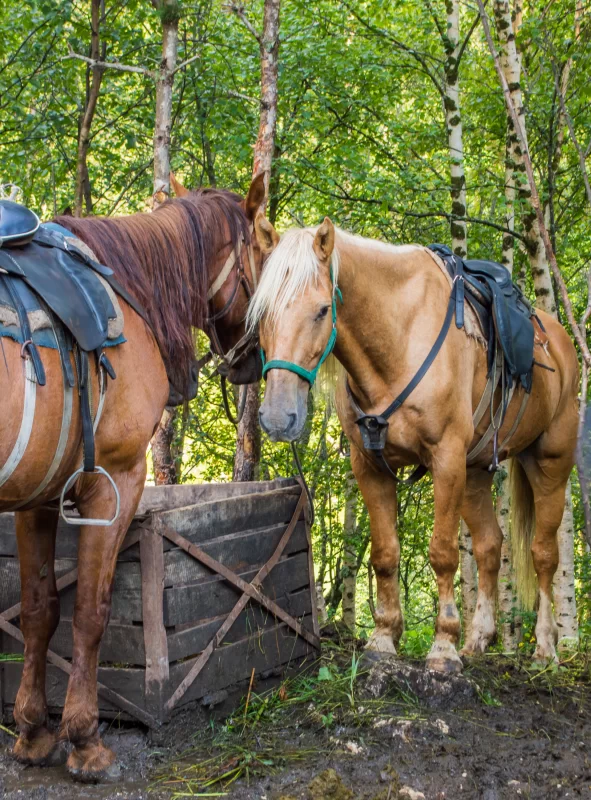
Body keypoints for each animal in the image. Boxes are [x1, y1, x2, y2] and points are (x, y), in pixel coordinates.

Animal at [1, 173, 265, 781]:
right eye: (267, 248)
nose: (254, 359)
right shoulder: (114, 481)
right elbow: (91, 612)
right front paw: (84, 739)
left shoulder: (37, 498)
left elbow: (40, 611)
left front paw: (33, 732)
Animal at [248, 215, 579, 675]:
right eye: (262, 312)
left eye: (321, 311)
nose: (279, 417)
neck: (398, 338)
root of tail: (559, 342)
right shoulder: (370, 465)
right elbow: (385, 553)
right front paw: (384, 637)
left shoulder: (445, 459)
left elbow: (443, 553)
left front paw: (442, 646)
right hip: (474, 474)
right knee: (490, 546)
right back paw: (478, 639)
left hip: (548, 463)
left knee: (544, 554)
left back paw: (545, 647)